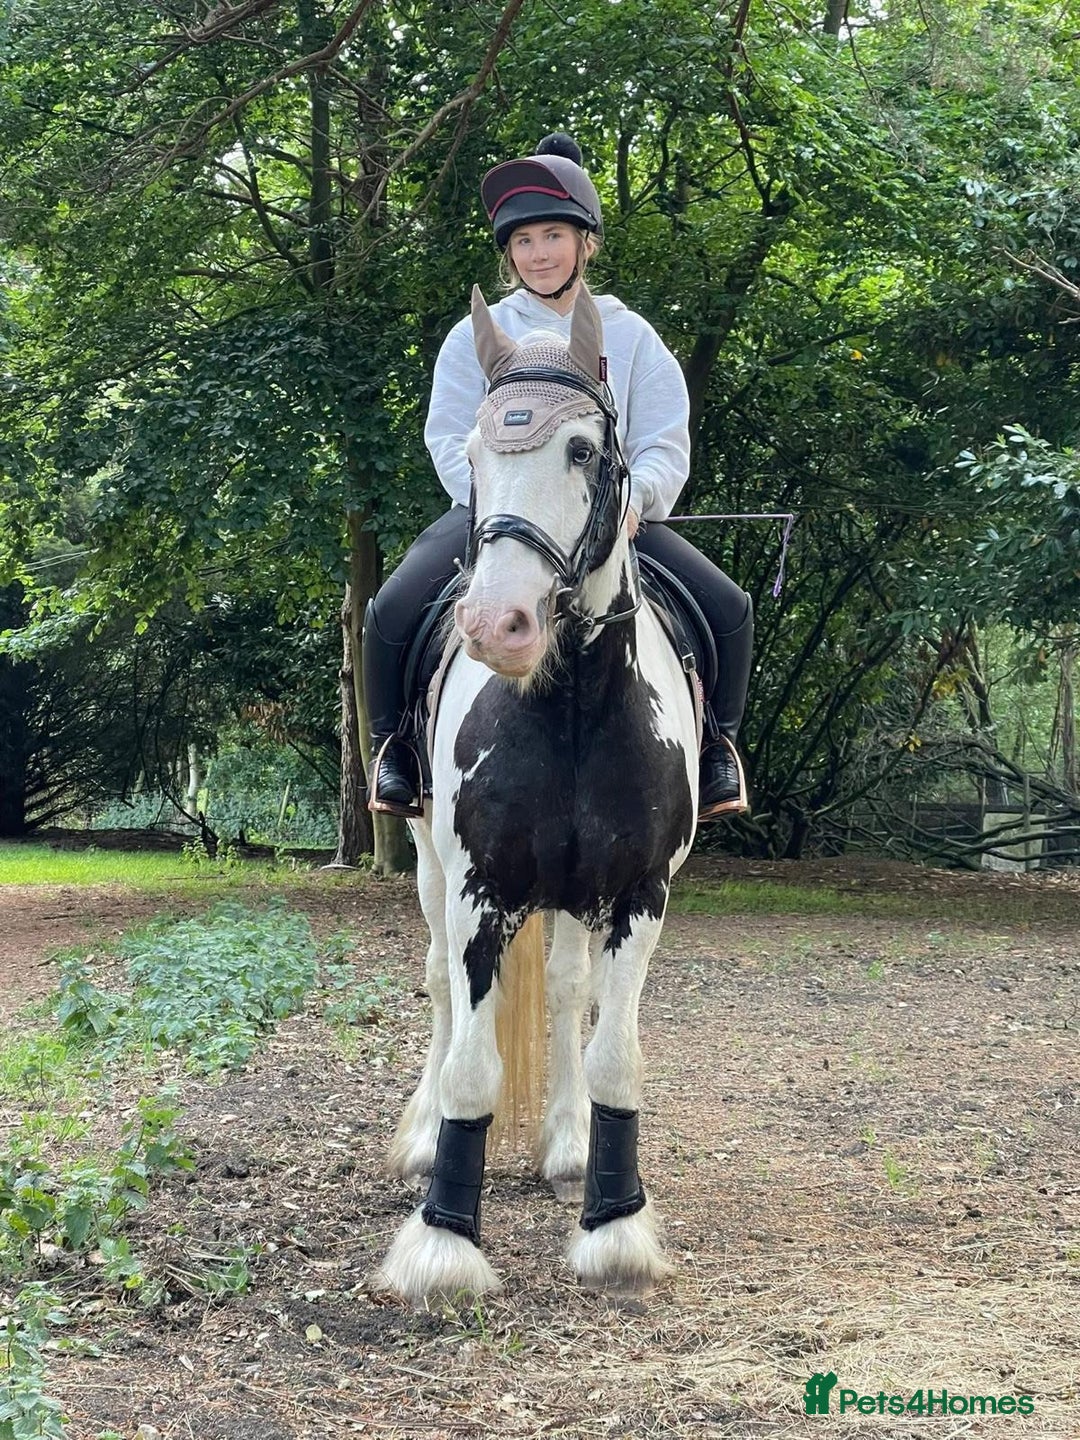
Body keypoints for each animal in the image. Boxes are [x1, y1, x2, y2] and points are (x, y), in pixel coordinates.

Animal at [376, 284, 699, 1303]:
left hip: (569, 898)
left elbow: (615, 1057)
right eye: (477, 453)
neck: (568, 707)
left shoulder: (638, 896)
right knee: (441, 987)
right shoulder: (480, 893)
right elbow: (473, 1068)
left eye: (584, 450)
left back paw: (565, 1142)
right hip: (431, 873)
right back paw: (421, 1132)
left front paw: (615, 1222)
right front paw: (442, 1241)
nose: (497, 626)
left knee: (563, 993)